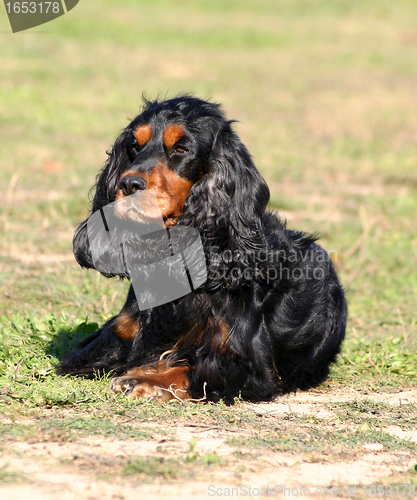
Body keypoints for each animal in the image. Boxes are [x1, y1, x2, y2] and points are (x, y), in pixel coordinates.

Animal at [61, 96, 348, 402]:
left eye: (181, 149)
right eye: (135, 145)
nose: (128, 184)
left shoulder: (247, 366)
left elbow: (193, 371)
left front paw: (143, 379)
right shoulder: (109, 338)